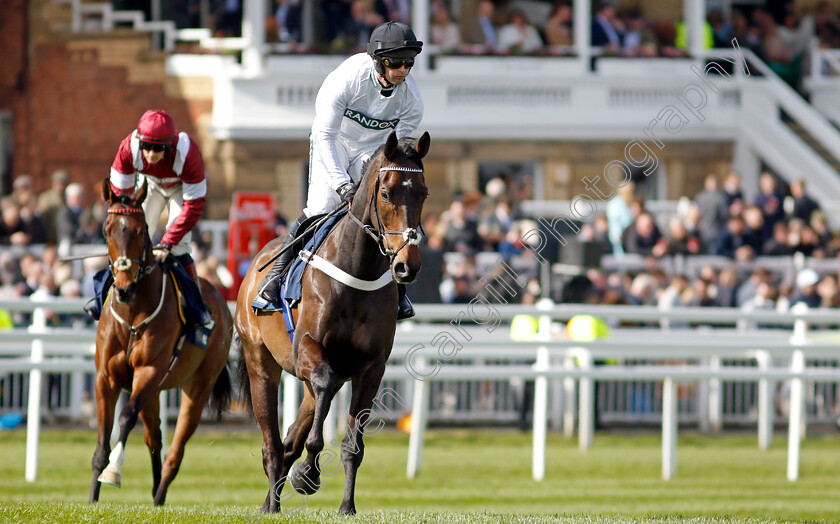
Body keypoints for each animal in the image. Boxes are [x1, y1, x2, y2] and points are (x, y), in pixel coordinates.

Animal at [90, 178, 233, 506]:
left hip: (198, 387)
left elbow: (126, 417)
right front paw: (92, 497)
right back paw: (156, 496)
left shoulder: (149, 371)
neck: (132, 315)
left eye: (141, 230)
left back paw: (159, 495)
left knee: (174, 451)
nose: (124, 288)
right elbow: (103, 441)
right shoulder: (106, 377)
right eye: (107, 229)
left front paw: (114, 472)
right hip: (154, 392)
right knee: (154, 438)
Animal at [236, 130, 434, 512]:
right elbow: (323, 394)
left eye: (423, 192)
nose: (408, 265)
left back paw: (274, 496)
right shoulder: (307, 350)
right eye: (386, 193)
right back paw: (271, 504)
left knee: (290, 438)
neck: (356, 271)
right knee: (272, 442)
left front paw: (346, 506)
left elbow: (353, 444)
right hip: (260, 363)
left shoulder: (370, 366)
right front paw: (308, 473)